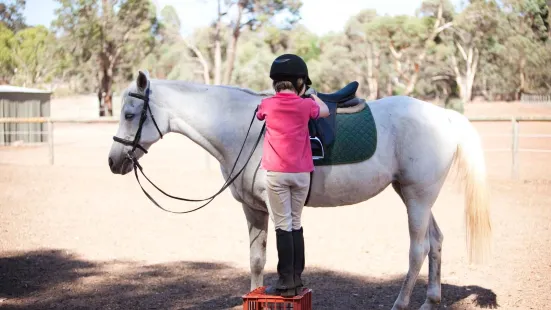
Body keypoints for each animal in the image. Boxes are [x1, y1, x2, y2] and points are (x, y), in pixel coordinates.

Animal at [106, 71, 492, 310]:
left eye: (130, 113)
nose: (113, 161)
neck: (248, 128)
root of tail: (443, 115)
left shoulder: (277, 203)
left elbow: (284, 251)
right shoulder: (253, 208)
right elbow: (257, 258)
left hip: (417, 198)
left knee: (418, 249)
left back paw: (401, 304)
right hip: (416, 196)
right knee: (436, 242)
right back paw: (431, 300)